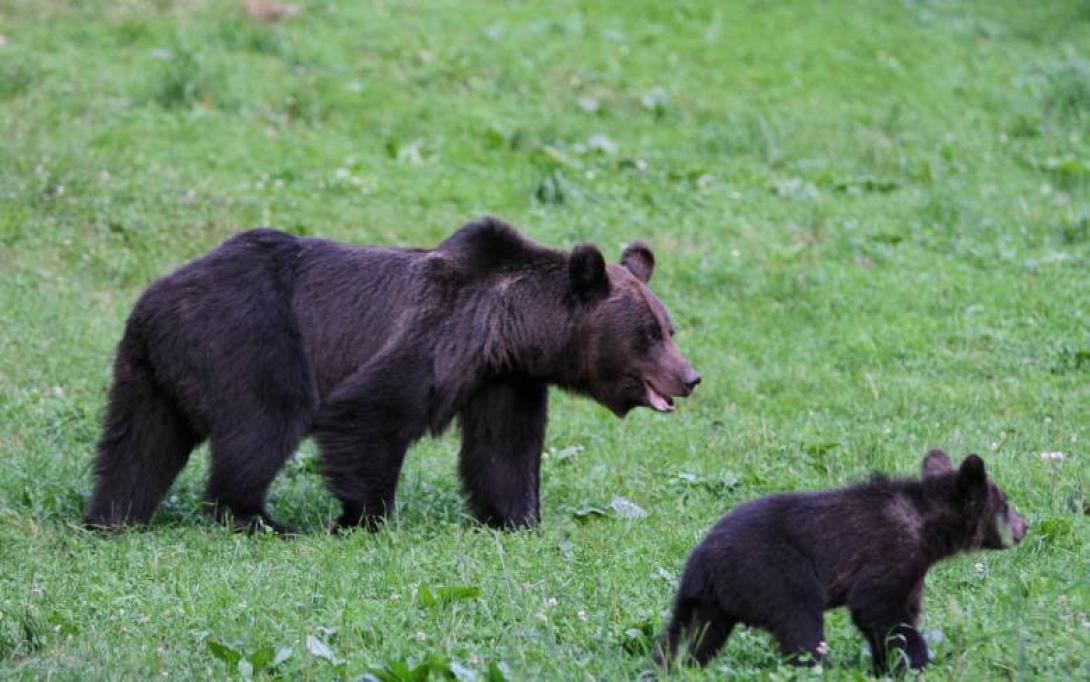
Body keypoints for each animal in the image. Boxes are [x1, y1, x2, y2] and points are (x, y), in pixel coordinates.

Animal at [82, 217, 697, 531]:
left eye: (670, 328)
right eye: (648, 334)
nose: (690, 378)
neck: (510, 329)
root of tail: (155, 302)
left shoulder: (505, 381)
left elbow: (504, 454)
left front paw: (519, 519)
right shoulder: (435, 336)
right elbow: (368, 411)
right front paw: (366, 517)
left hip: (150, 372)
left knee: (138, 445)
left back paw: (114, 514)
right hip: (249, 337)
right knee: (265, 422)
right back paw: (256, 517)